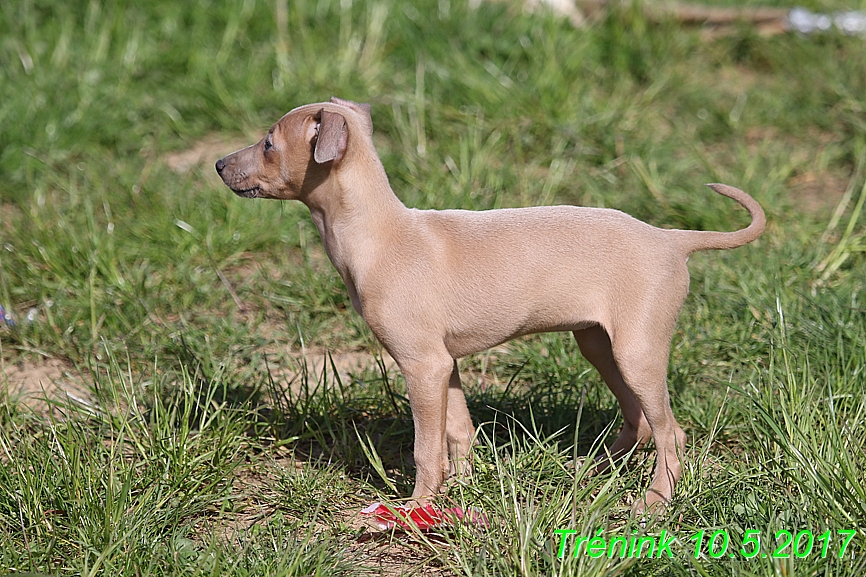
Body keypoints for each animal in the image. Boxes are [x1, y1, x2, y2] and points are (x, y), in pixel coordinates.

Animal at [214, 97, 764, 510]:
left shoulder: (423, 365)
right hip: (599, 344)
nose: (218, 164)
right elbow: (458, 432)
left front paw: (416, 507)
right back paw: (588, 473)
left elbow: (425, 448)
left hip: (638, 351)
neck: (381, 235)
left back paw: (654, 502)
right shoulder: (445, 365)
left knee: (672, 432)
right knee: (641, 421)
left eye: (268, 143)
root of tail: (671, 239)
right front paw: (457, 492)